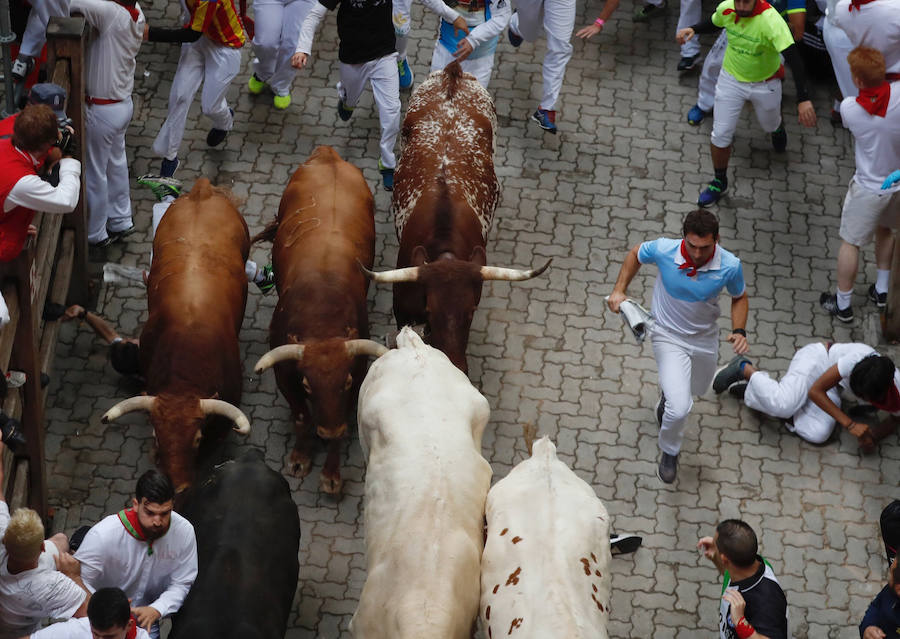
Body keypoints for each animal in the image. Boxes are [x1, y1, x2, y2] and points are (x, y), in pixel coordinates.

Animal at [251, 148, 384, 498]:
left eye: (346, 383)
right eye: (308, 385)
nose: (329, 429)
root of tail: (329, 155)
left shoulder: (357, 370)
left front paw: (331, 473)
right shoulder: (285, 375)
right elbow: (301, 417)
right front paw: (300, 456)